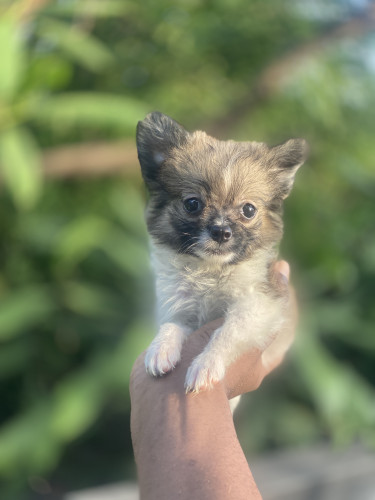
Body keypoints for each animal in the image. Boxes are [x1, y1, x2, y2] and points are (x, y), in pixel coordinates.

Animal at [137, 113, 306, 394]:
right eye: (192, 204)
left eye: (248, 210)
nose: (221, 231)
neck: (210, 270)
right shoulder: (180, 309)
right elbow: (172, 325)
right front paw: (160, 348)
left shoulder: (259, 304)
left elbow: (227, 332)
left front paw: (205, 364)